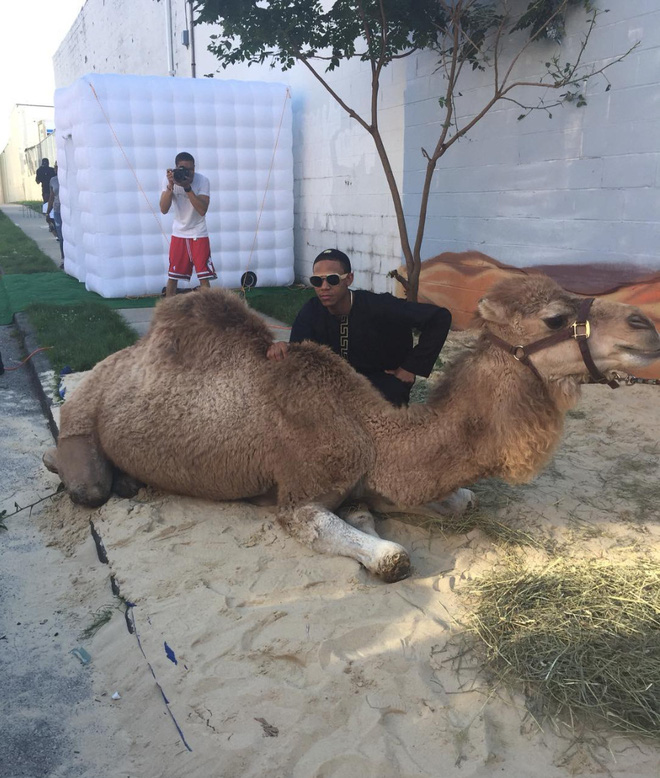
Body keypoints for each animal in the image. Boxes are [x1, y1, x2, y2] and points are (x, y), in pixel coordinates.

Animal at [45, 275, 660, 582]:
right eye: (556, 317)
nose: (645, 324)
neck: (370, 434)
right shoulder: (296, 495)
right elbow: (391, 557)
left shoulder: (378, 480)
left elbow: (462, 501)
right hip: (81, 421)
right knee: (84, 481)